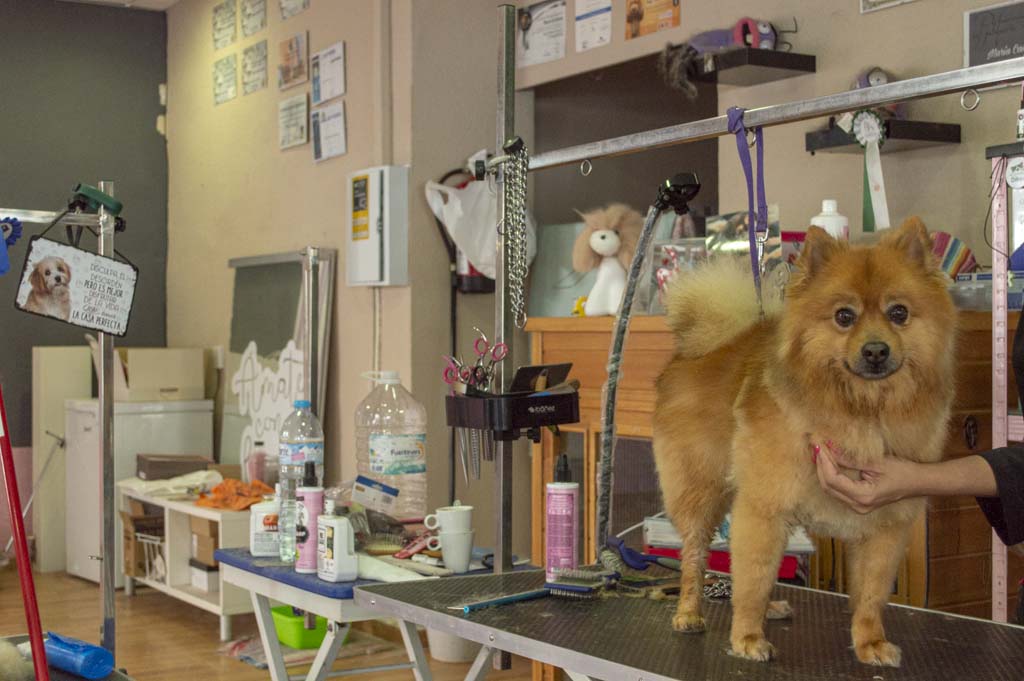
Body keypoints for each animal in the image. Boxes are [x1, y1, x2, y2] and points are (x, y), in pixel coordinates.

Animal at [651, 218, 954, 663]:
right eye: (844, 316)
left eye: (899, 313)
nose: (876, 350)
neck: (861, 409)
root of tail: (690, 351)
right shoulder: (764, 506)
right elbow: (753, 579)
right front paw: (747, 637)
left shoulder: (884, 524)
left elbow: (871, 594)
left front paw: (869, 641)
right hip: (700, 492)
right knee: (694, 556)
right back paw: (689, 613)